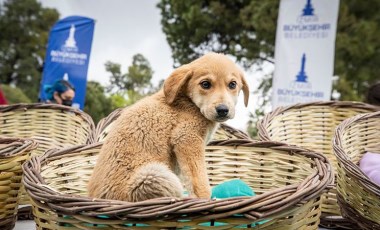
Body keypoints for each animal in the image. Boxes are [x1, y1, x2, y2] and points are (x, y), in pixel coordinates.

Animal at [88, 52, 249, 201]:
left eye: (232, 84)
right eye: (205, 84)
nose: (223, 110)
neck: (190, 103)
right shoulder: (187, 138)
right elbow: (199, 180)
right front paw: (205, 199)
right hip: (155, 176)